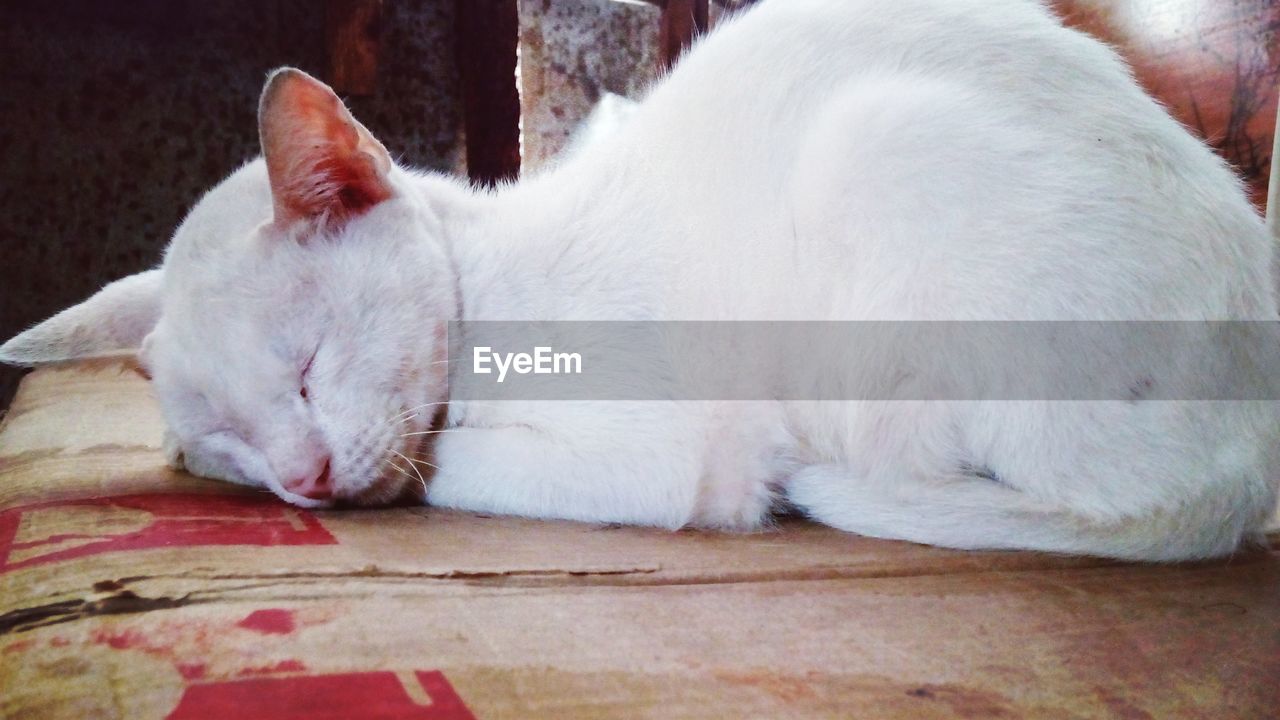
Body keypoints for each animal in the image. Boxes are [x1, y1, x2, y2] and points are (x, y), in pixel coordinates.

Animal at [2, 0, 1280, 561]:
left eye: (308, 371)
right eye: (223, 440)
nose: (303, 482)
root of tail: (1245, 474)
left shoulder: (670, 452)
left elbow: (443, 471)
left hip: (879, 153)